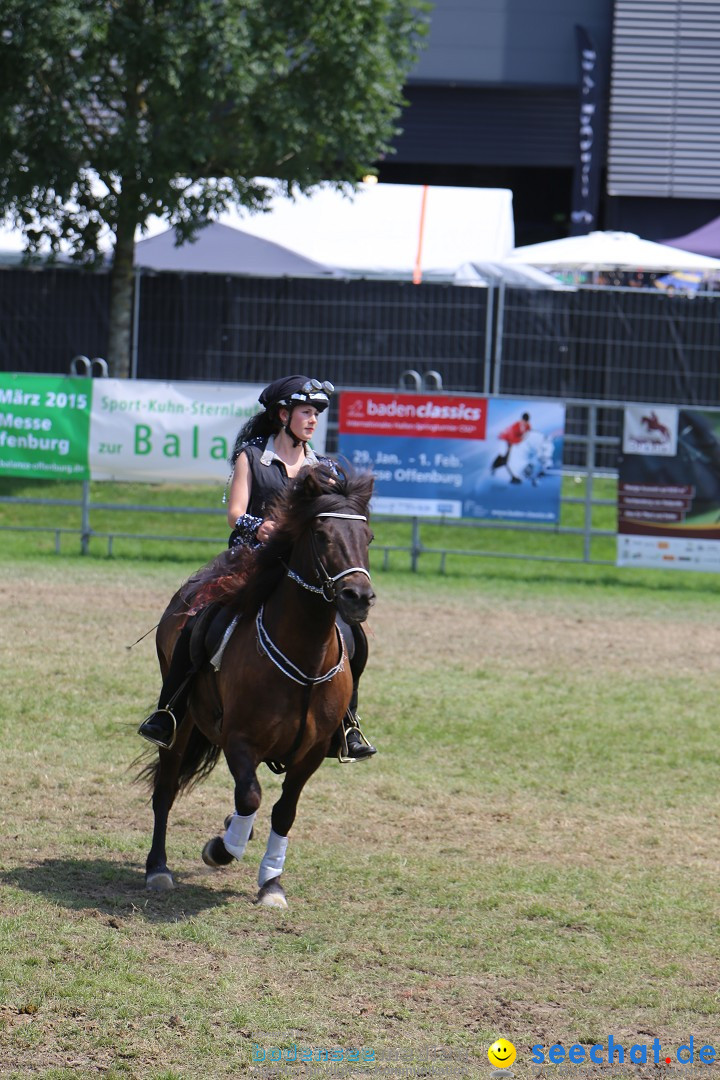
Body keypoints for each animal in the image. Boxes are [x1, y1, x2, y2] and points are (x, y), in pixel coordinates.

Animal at [142, 460, 377, 907]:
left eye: (369, 537)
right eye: (321, 535)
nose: (359, 597)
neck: (304, 657)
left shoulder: (311, 754)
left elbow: (284, 812)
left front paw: (271, 883)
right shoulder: (240, 739)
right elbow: (250, 796)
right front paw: (220, 849)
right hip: (180, 725)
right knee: (165, 788)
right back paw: (158, 868)